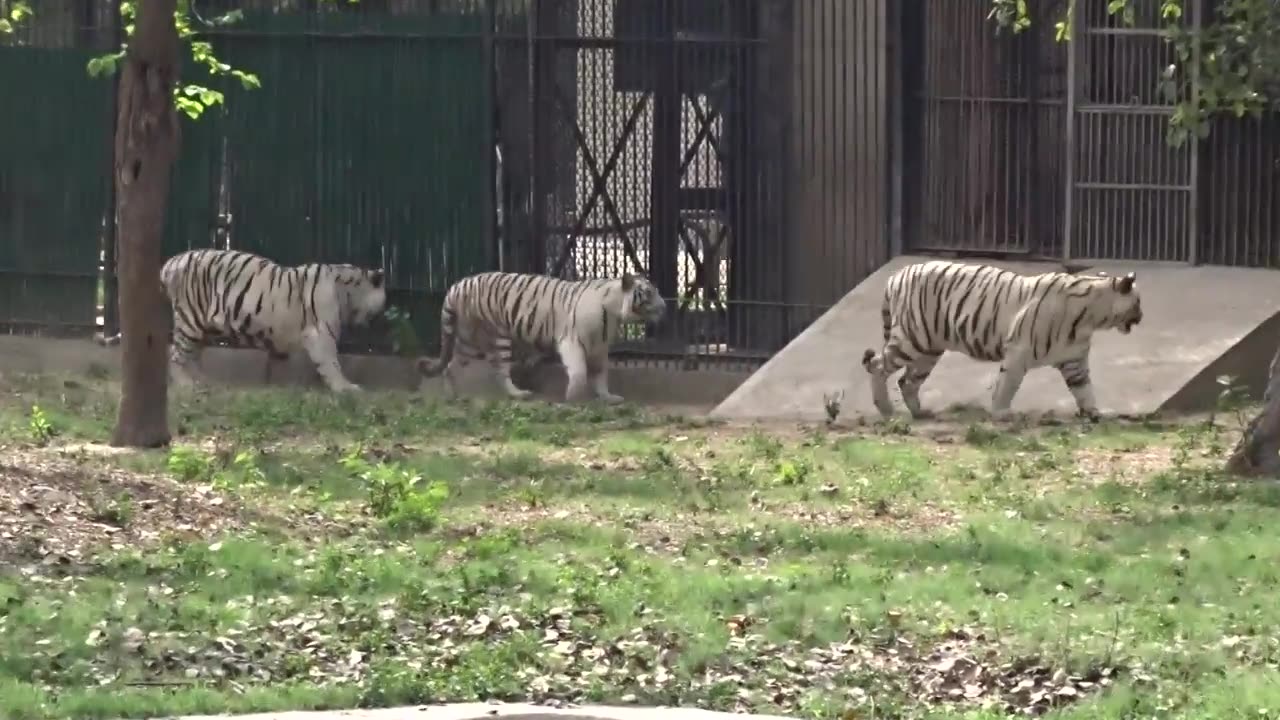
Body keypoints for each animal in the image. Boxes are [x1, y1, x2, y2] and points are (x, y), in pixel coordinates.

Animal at [100, 245, 386, 392]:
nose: (377, 320)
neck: (348, 290)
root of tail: (170, 263)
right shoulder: (321, 333)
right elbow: (331, 362)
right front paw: (345, 387)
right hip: (190, 318)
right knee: (177, 355)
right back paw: (186, 384)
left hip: (203, 325)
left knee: (192, 355)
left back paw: (204, 381)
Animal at [417, 270, 665, 404]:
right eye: (649, 293)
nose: (665, 307)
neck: (613, 313)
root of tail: (458, 284)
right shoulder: (572, 341)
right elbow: (579, 372)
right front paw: (573, 397)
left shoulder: (599, 348)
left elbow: (601, 375)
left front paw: (608, 397)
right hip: (494, 337)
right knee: (497, 370)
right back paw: (515, 394)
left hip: (470, 339)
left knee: (454, 366)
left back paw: (455, 396)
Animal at [865, 260, 1146, 420]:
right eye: (1138, 302)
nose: (1142, 316)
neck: (1091, 319)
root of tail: (895, 275)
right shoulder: (1018, 351)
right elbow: (1008, 385)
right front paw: (1000, 414)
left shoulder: (1073, 360)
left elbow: (1085, 389)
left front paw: (1093, 413)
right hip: (912, 340)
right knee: (877, 365)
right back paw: (887, 411)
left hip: (928, 350)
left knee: (907, 381)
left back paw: (920, 413)